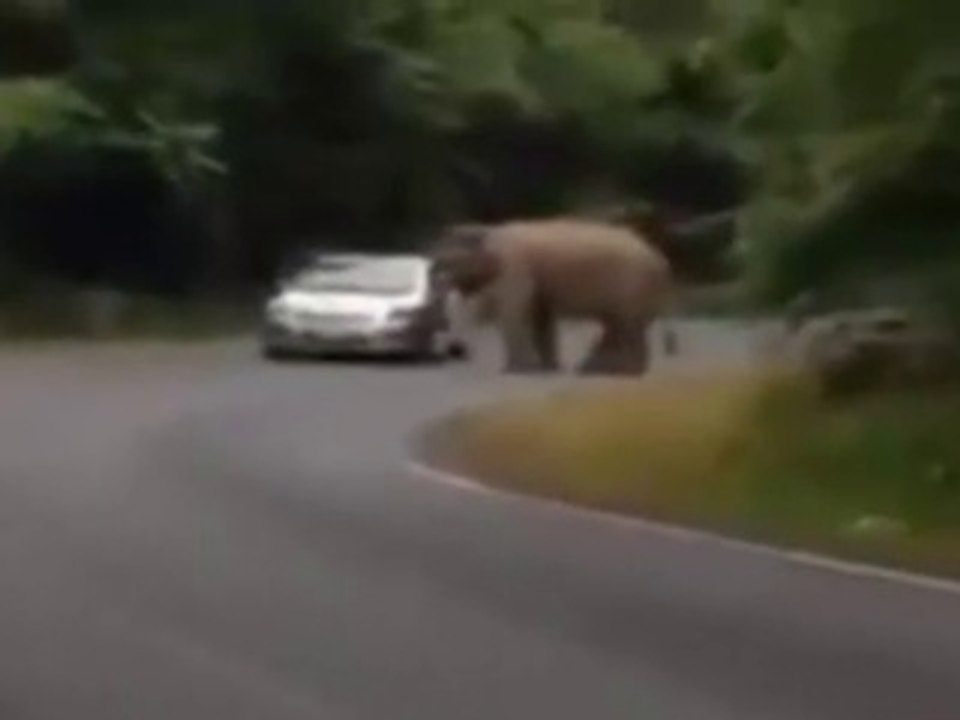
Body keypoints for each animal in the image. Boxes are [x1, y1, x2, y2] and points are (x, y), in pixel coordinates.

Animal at [430, 217, 678, 376]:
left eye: (447, 261)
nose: (455, 349)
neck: (489, 229)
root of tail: (663, 262)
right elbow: (541, 315)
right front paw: (546, 369)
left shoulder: (515, 265)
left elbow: (515, 311)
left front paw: (518, 371)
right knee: (617, 324)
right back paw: (594, 370)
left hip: (633, 285)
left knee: (626, 325)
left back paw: (621, 372)